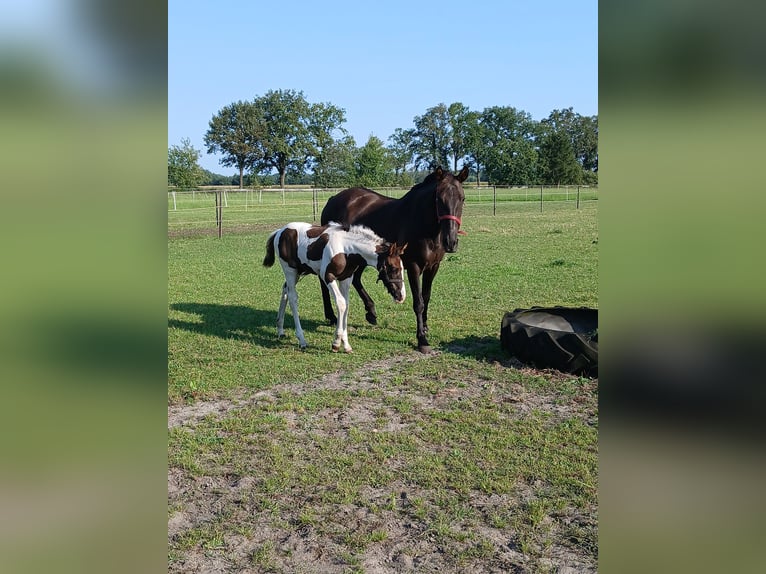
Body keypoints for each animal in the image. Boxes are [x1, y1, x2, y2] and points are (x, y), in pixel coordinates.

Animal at [264, 223, 408, 354]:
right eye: (394, 268)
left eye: (402, 268)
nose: (401, 296)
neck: (346, 249)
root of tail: (279, 231)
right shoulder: (328, 276)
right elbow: (341, 303)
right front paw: (336, 343)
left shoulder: (346, 278)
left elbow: (346, 305)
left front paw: (346, 345)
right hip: (290, 270)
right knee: (293, 298)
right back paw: (302, 340)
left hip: (299, 272)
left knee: (285, 290)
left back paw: (280, 330)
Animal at [318, 166, 468, 354]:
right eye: (439, 199)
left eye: (462, 198)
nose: (451, 242)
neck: (424, 226)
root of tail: (332, 199)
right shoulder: (413, 266)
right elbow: (418, 302)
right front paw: (422, 340)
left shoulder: (433, 266)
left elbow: (426, 297)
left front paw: (425, 327)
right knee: (324, 281)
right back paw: (331, 315)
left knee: (356, 280)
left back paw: (371, 312)